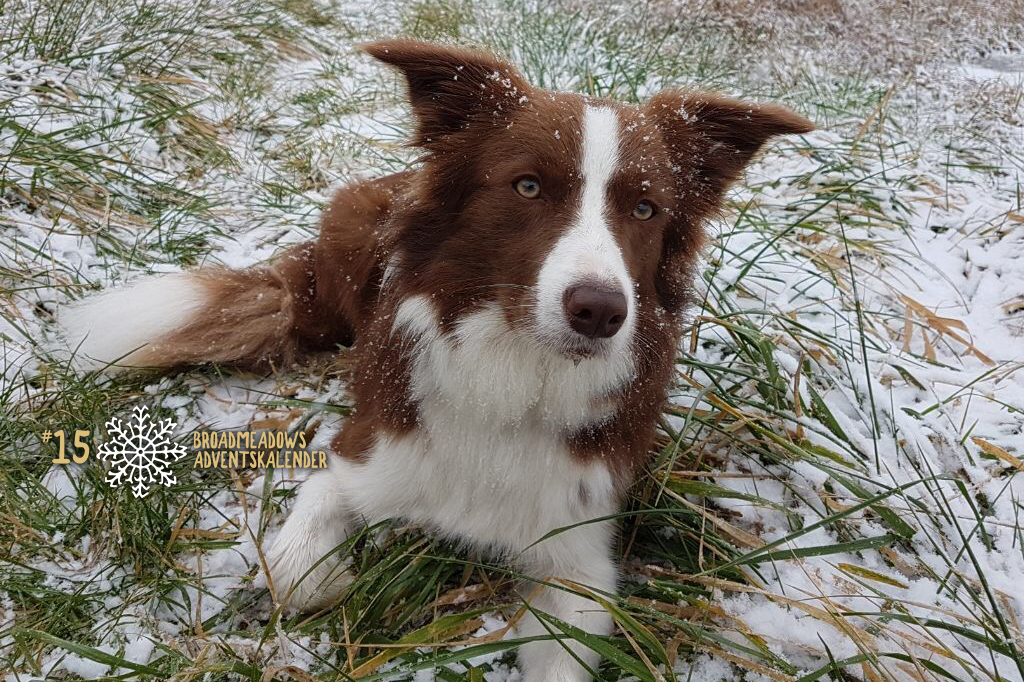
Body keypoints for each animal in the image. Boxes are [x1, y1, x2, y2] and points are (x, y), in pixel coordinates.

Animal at [59, 38, 811, 679]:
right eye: (528, 187)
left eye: (647, 208)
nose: (600, 312)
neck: (515, 373)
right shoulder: (363, 454)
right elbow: (297, 562)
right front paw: (330, 577)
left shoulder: (578, 553)